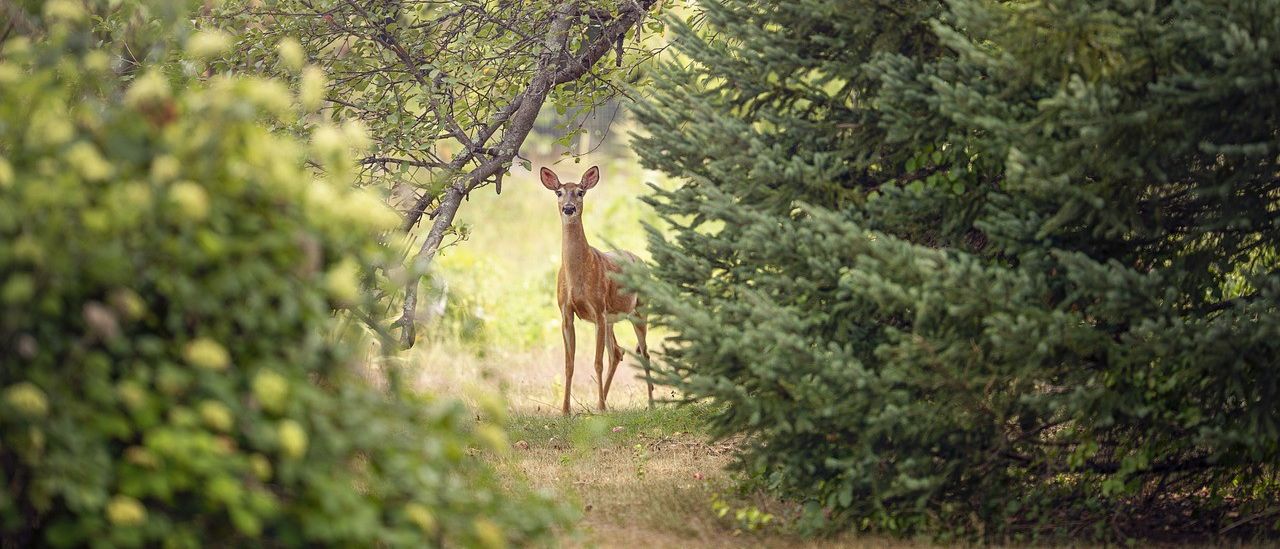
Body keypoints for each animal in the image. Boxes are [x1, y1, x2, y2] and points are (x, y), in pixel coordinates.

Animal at [541, 165, 653, 415]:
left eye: (581, 192)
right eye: (559, 192)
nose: (569, 208)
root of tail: (641, 261)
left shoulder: (598, 309)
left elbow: (597, 362)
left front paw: (599, 407)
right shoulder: (566, 313)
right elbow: (569, 363)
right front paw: (565, 410)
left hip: (640, 310)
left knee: (644, 353)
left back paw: (649, 403)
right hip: (612, 318)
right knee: (618, 352)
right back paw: (603, 402)